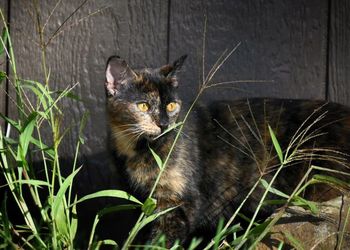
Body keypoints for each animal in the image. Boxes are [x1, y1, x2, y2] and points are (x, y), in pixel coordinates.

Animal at [104, 55, 350, 246]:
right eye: (143, 105)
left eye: (171, 105)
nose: (164, 124)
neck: (139, 150)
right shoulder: (142, 202)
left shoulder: (177, 204)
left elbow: (159, 242)